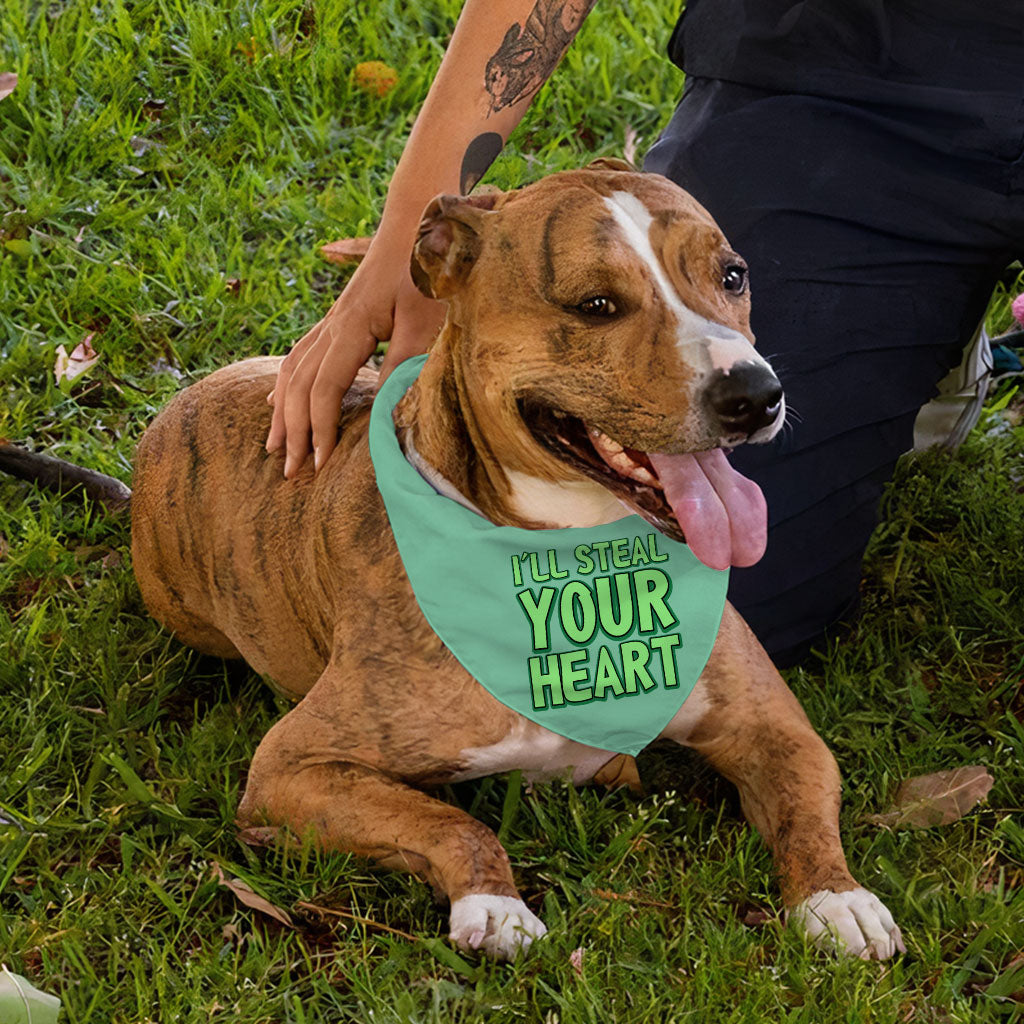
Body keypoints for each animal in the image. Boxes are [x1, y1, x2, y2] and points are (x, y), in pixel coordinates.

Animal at [123, 159, 901, 958]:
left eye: (733, 276)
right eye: (596, 305)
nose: (755, 393)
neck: (576, 562)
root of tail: (182, 401)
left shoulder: (774, 728)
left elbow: (806, 807)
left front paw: (838, 897)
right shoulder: (293, 766)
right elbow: (450, 820)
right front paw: (493, 903)